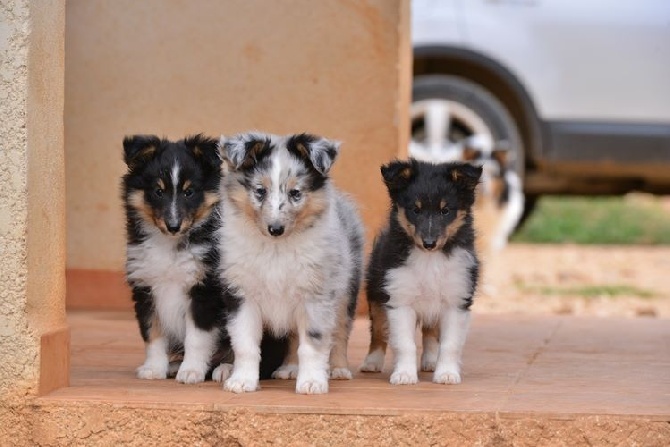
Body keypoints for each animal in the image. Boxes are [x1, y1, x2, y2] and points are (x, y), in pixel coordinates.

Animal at [123, 135, 234, 384]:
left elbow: (197, 337)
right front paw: (154, 368)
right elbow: (152, 333)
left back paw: (226, 369)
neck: (170, 245)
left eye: (189, 192)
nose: (173, 226)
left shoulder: (204, 291)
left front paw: (191, 371)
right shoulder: (145, 288)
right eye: (158, 191)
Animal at [218, 131, 364, 394]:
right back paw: (289, 368)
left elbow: (313, 344)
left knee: (340, 333)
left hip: (346, 292)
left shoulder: (315, 294)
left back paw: (338, 369)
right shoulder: (241, 294)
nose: (275, 229)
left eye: (296, 193)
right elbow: (246, 343)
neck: (276, 249)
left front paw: (312, 382)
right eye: (260, 191)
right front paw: (242, 380)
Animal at [362, 159, 484, 386]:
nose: (429, 243)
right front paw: (404, 375)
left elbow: (450, 344)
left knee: (430, 332)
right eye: (415, 210)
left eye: (445, 211)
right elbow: (404, 343)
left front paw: (446, 375)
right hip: (376, 293)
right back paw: (372, 362)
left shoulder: (456, 300)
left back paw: (430, 361)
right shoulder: (399, 299)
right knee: (379, 331)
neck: (430, 259)